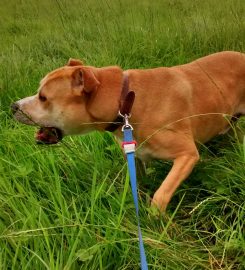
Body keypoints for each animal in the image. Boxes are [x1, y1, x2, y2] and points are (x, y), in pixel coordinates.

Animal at [11, 51, 245, 211]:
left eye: (43, 97)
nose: (13, 106)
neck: (124, 102)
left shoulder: (187, 154)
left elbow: (160, 195)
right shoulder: (135, 157)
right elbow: (138, 184)